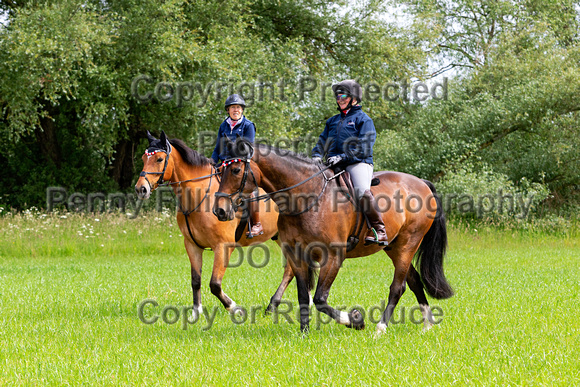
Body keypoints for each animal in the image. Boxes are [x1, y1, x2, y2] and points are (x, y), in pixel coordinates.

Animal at [136, 132, 290, 316]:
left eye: (159, 159)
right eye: (144, 158)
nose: (141, 189)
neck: (199, 197)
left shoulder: (223, 246)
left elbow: (215, 284)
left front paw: (235, 309)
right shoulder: (192, 245)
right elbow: (196, 281)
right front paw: (196, 312)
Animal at [213, 141, 454, 334]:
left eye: (236, 169)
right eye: (219, 172)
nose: (220, 211)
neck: (305, 198)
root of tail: (421, 183)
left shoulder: (333, 256)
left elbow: (320, 298)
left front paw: (356, 320)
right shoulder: (296, 254)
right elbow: (303, 296)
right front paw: (304, 333)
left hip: (408, 243)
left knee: (398, 287)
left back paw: (380, 328)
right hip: (394, 247)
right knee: (413, 281)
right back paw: (427, 324)